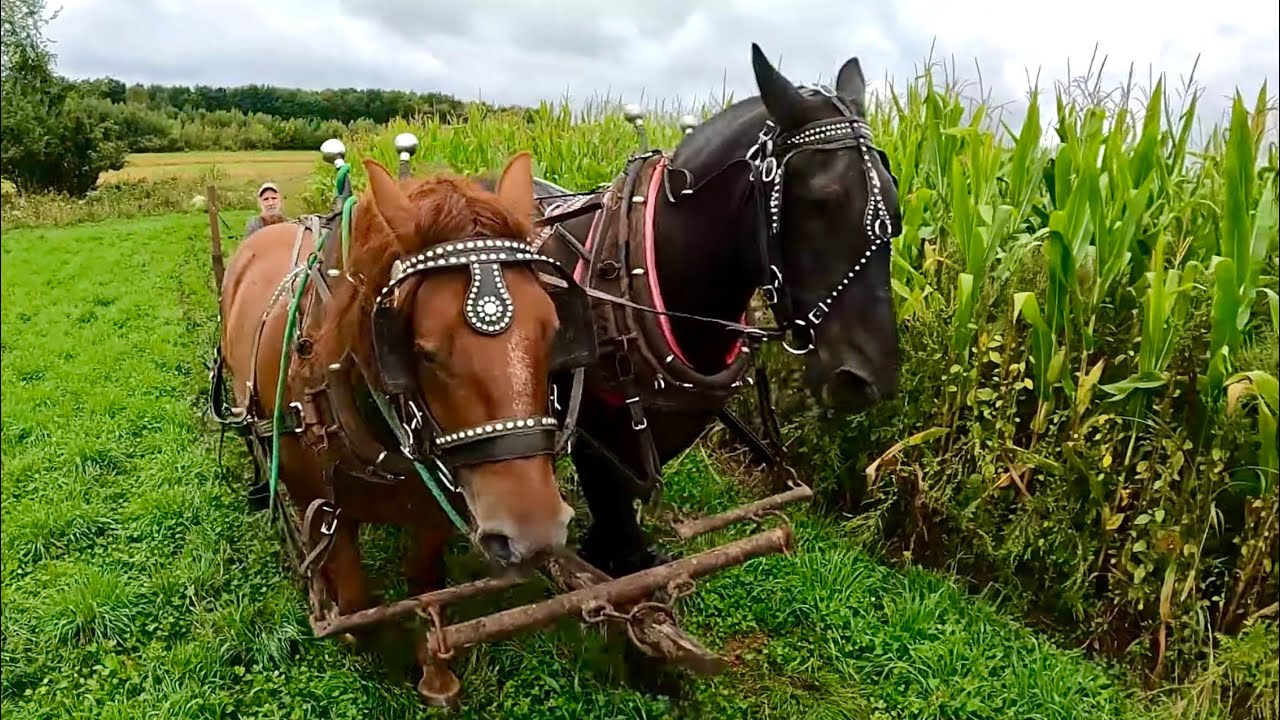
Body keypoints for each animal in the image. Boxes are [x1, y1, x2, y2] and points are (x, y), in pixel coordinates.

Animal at [215, 152, 585, 701]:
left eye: (554, 330)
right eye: (425, 351)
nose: (535, 534)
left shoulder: (436, 501)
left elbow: (424, 583)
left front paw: (435, 669)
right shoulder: (322, 504)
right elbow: (356, 603)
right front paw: (365, 646)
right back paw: (262, 491)